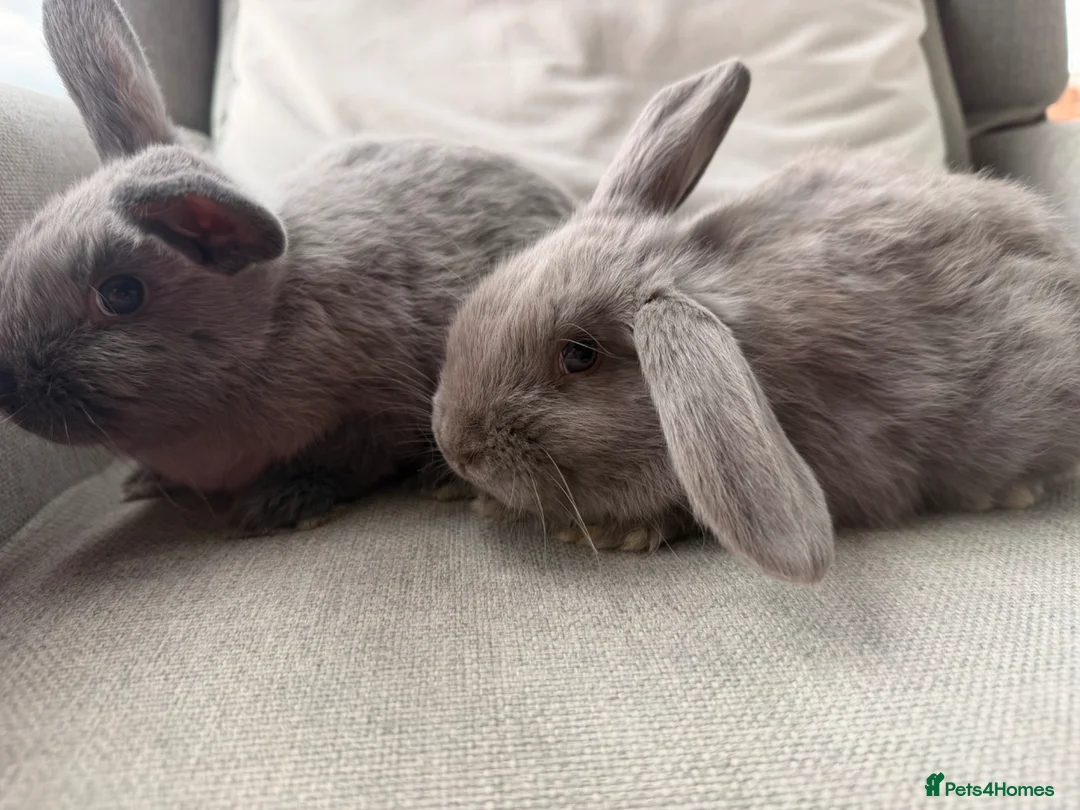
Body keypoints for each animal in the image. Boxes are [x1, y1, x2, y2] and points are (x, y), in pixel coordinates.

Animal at [0, 0, 574, 534]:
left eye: (120, 294)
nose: (8, 389)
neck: (268, 325)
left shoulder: (374, 409)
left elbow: (345, 460)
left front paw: (278, 505)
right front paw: (144, 482)